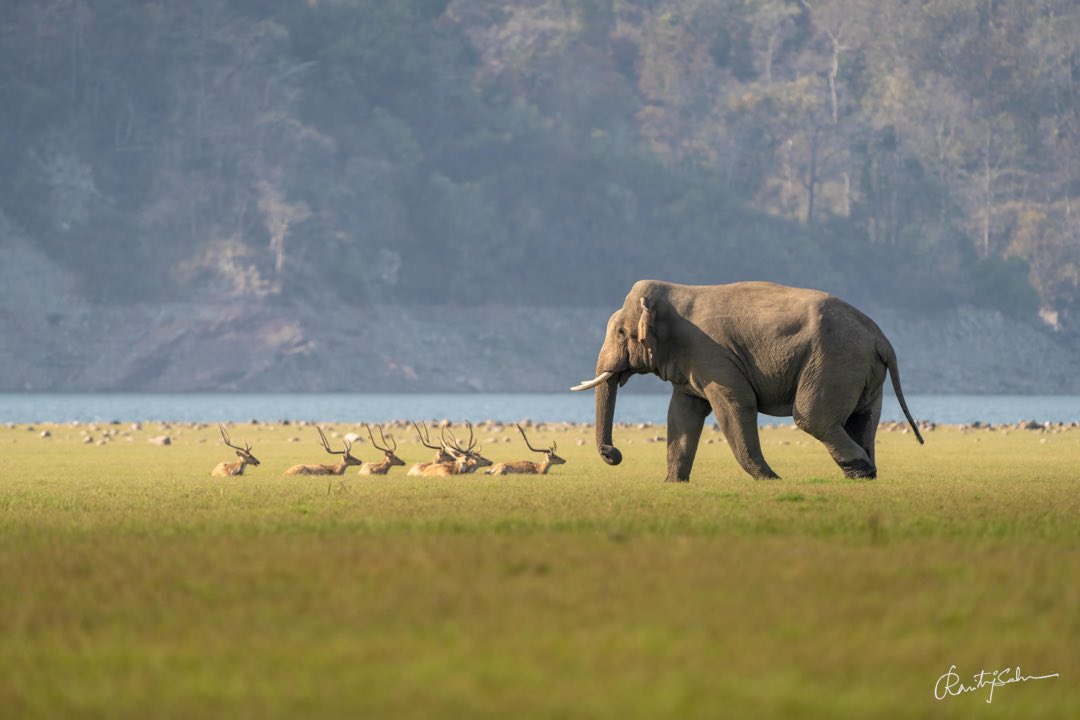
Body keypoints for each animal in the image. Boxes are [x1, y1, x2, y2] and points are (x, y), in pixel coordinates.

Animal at [570, 278, 924, 481]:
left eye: (620, 332)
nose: (613, 454)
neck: (673, 291)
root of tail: (881, 338)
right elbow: (682, 413)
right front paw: (673, 485)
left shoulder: (711, 353)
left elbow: (735, 403)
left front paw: (770, 481)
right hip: (863, 371)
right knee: (863, 419)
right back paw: (866, 475)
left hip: (834, 361)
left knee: (812, 417)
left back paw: (859, 470)